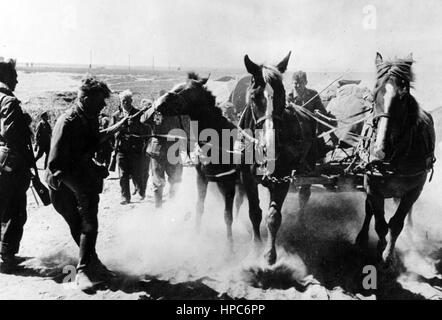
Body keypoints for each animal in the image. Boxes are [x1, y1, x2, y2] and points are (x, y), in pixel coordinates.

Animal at [142, 72, 243, 250]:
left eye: (186, 90)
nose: (158, 104)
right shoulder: (202, 178)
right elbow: (199, 208)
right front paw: (196, 234)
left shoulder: (228, 182)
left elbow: (227, 216)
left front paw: (230, 247)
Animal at [238, 51, 318, 264]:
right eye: (254, 96)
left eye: (282, 94)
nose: (270, 145)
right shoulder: (247, 178)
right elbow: (255, 212)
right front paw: (256, 247)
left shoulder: (283, 178)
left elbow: (273, 216)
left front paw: (270, 254)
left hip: (308, 166)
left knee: (304, 194)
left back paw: (301, 224)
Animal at [356, 52, 436, 264]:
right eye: (375, 93)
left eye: (404, 96)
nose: (380, 150)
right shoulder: (372, 187)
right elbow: (380, 224)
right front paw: (379, 247)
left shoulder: (414, 190)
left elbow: (396, 223)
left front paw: (388, 255)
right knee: (369, 211)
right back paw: (362, 238)